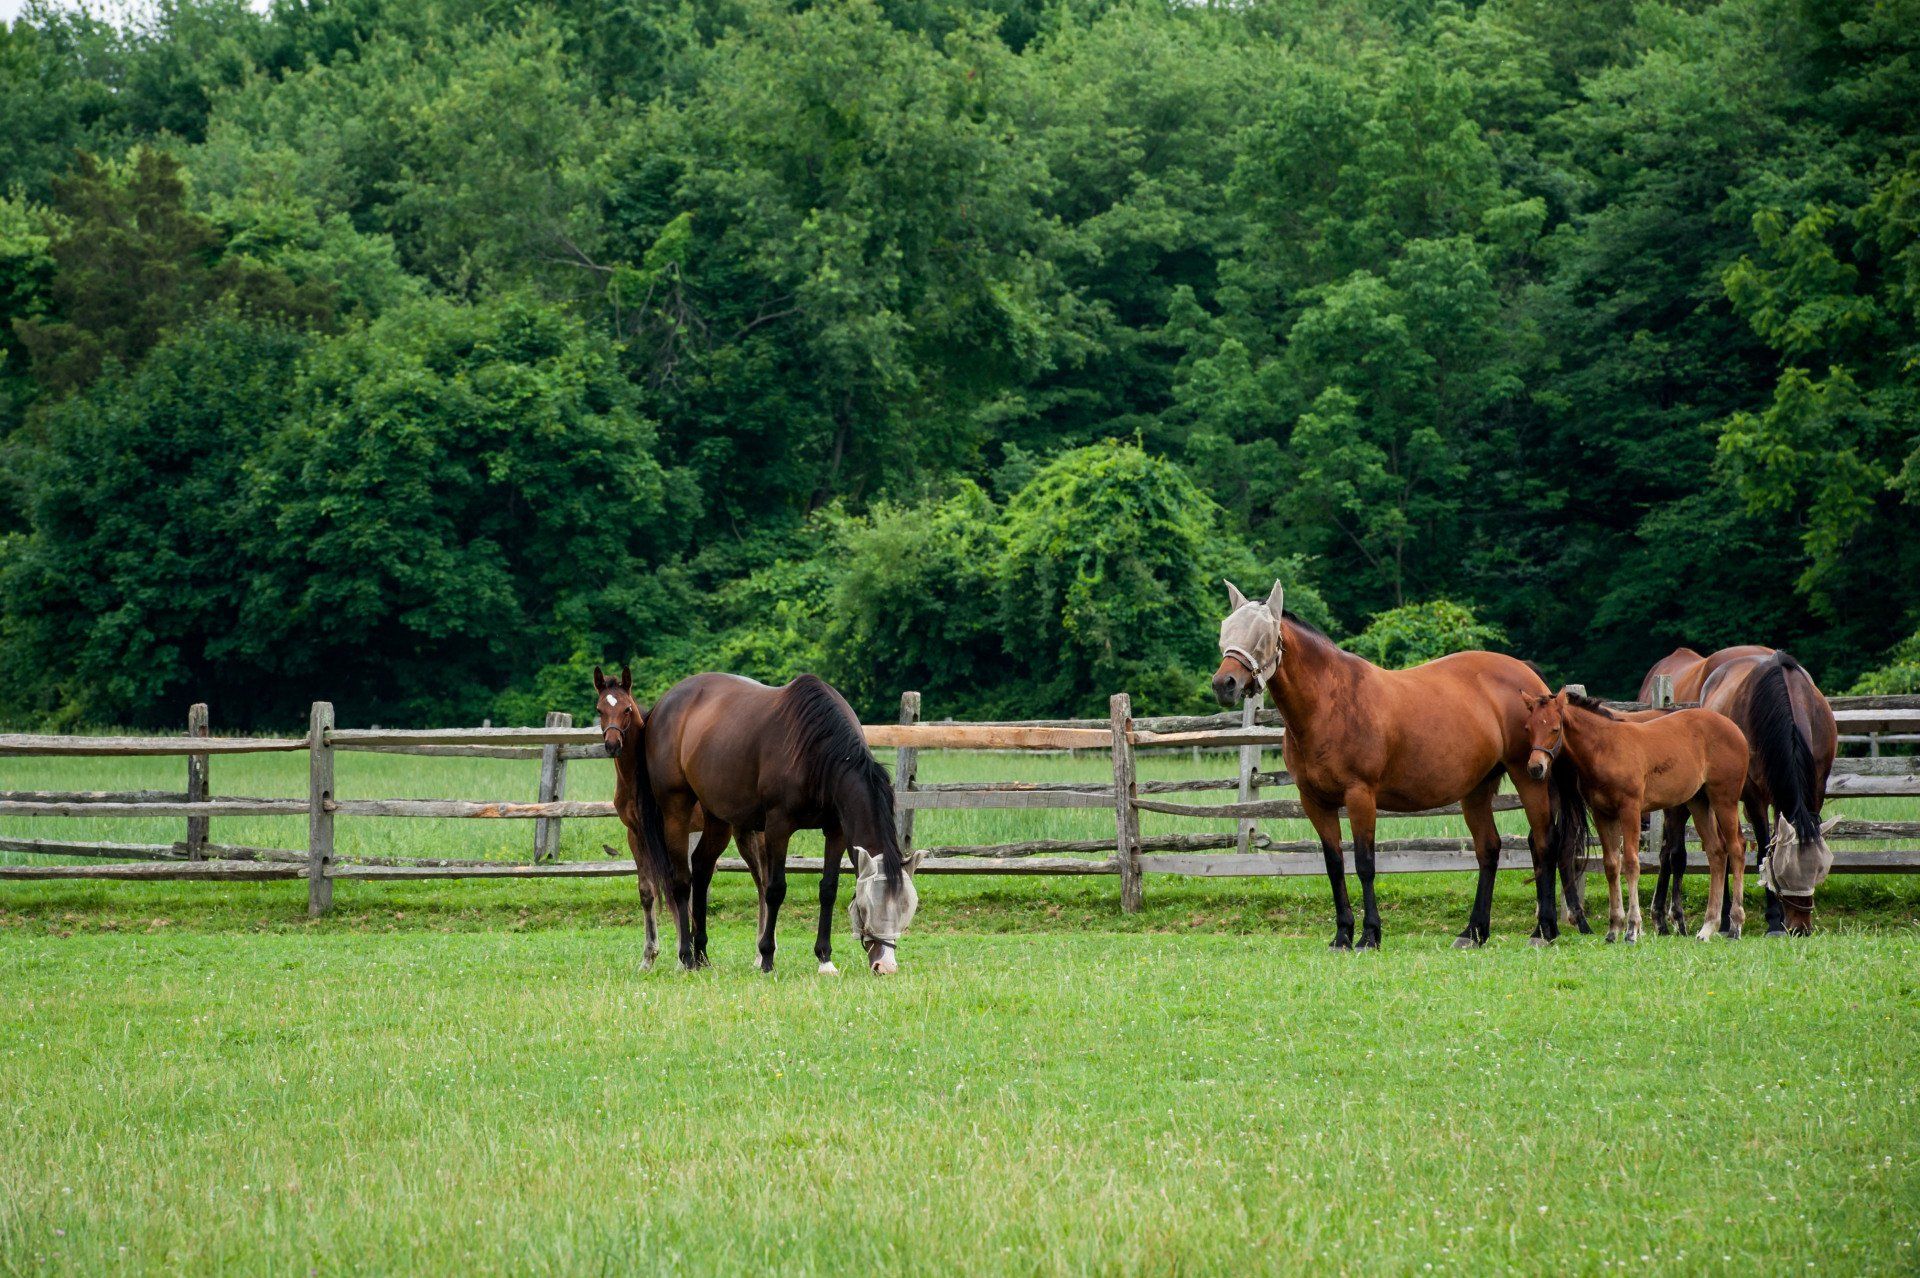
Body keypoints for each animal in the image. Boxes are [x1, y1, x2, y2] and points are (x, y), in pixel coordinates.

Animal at [599, 660, 929, 970]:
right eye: (865, 907)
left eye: (906, 910)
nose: (885, 966)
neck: (817, 749)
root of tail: (662, 705)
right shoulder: (778, 827)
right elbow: (774, 889)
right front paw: (767, 957)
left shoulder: (835, 830)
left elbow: (828, 889)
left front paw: (825, 958)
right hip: (676, 812)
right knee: (681, 881)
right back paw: (687, 957)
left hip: (718, 818)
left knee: (702, 868)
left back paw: (703, 954)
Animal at [1213, 579, 1589, 944]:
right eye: (1226, 629)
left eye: (1264, 635)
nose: (1223, 684)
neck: (1330, 703)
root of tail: (1529, 677)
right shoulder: (1314, 802)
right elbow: (1334, 864)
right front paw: (1342, 934)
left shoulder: (1360, 796)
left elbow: (1365, 863)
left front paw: (1369, 935)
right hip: (1477, 789)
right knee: (1489, 850)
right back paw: (1474, 932)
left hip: (1530, 779)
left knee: (1544, 844)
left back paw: (1543, 930)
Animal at [1520, 686, 1751, 944]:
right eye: (1528, 728)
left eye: (1555, 728)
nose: (1536, 768)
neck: (1605, 749)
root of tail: (1733, 727)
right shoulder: (1603, 814)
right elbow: (1612, 865)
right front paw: (1613, 929)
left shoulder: (1629, 809)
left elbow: (1631, 863)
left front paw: (1632, 929)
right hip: (1699, 802)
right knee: (1716, 852)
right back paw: (1707, 927)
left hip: (1724, 799)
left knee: (1736, 848)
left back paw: (1735, 926)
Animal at [1651, 652, 1843, 932]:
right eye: (1782, 874)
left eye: (1820, 870)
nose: (1800, 928)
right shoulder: (1755, 796)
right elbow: (1763, 848)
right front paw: (1774, 919)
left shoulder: (1816, 788)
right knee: (1719, 848)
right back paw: (1722, 916)